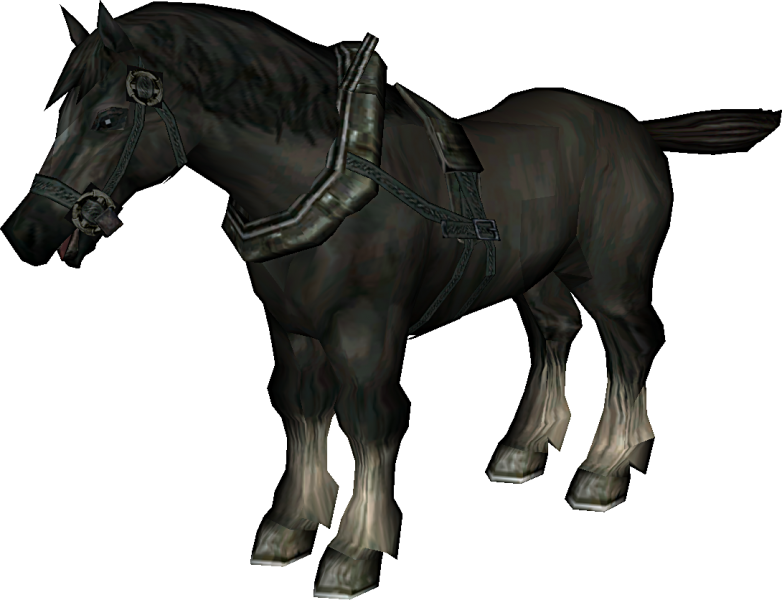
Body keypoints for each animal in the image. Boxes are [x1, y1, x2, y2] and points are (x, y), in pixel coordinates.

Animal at [6, 5, 777, 599]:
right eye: (66, 111)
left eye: (109, 120)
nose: (28, 232)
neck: (317, 177)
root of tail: (634, 127)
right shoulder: (293, 330)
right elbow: (301, 410)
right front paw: (289, 528)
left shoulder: (365, 329)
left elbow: (370, 421)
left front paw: (354, 552)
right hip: (542, 273)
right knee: (556, 333)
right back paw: (524, 448)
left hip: (611, 275)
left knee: (630, 346)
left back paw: (608, 468)